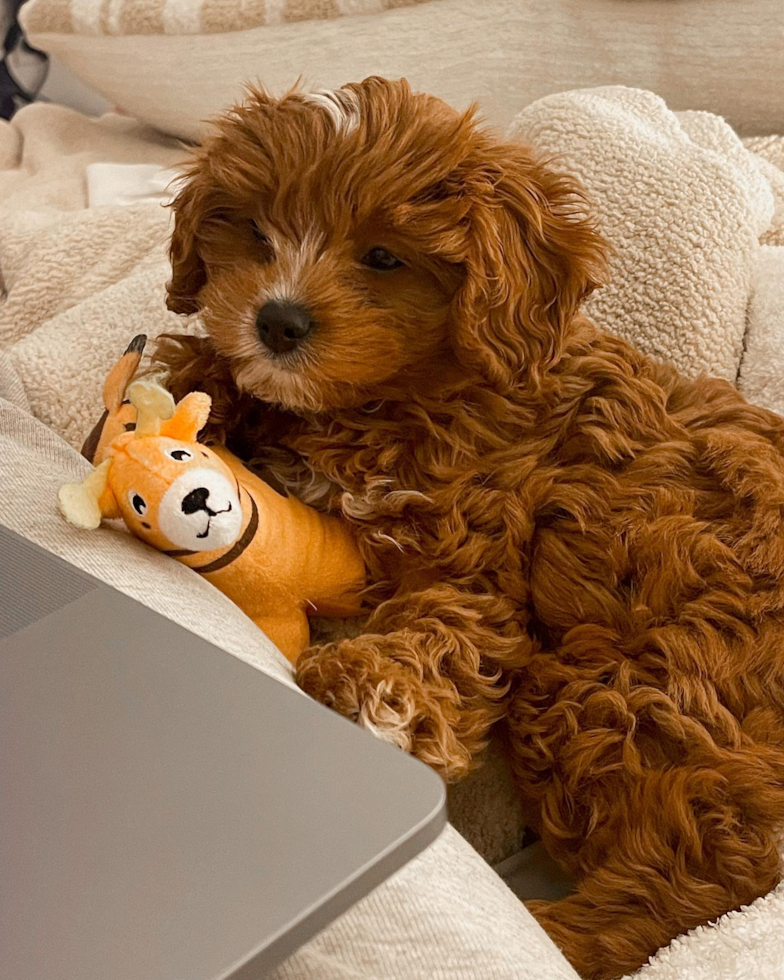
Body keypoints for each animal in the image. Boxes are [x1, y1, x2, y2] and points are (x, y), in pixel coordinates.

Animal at [156, 78, 784, 980]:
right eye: (256, 231)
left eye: (385, 258)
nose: (276, 322)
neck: (397, 397)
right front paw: (191, 383)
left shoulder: (477, 556)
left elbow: (444, 627)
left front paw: (376, 692)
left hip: (628, 679)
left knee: (709, 859)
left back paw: (558, 935)